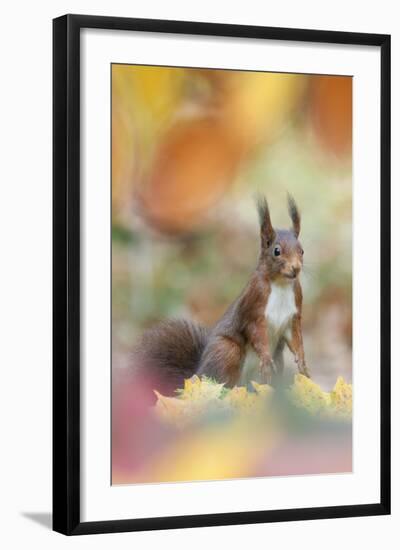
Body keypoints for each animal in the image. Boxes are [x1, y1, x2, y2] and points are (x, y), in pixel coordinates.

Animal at [134, 196, 310, 394]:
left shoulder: (293, 314)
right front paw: (265, 358)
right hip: (227, 351)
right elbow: (255, 332)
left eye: (302, 251)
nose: (296, 268)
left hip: (276, 362)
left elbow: (295, 338)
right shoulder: (253, 305)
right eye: (276, 251)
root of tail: (196, 376)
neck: (280, 285)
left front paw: (302, 363)